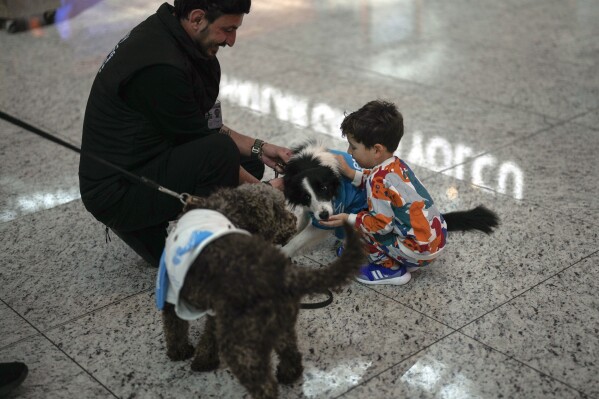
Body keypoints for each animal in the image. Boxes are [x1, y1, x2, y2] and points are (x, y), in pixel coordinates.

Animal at [161, 184, 366, 399]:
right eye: (277, 210)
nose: (293, 221)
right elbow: (186, 328)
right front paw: (192, 354)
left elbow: (179, 328)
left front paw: (188, 354)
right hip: (280, 323)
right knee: (290, 351)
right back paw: (289, 374)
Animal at [284, 142, 500, 258]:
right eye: (305, 196)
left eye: (324, 188)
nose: (324, 215)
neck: (310, 162)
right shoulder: (309, 208)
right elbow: (302, 223)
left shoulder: (333, 211)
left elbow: (301, 238)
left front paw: (284, 252)